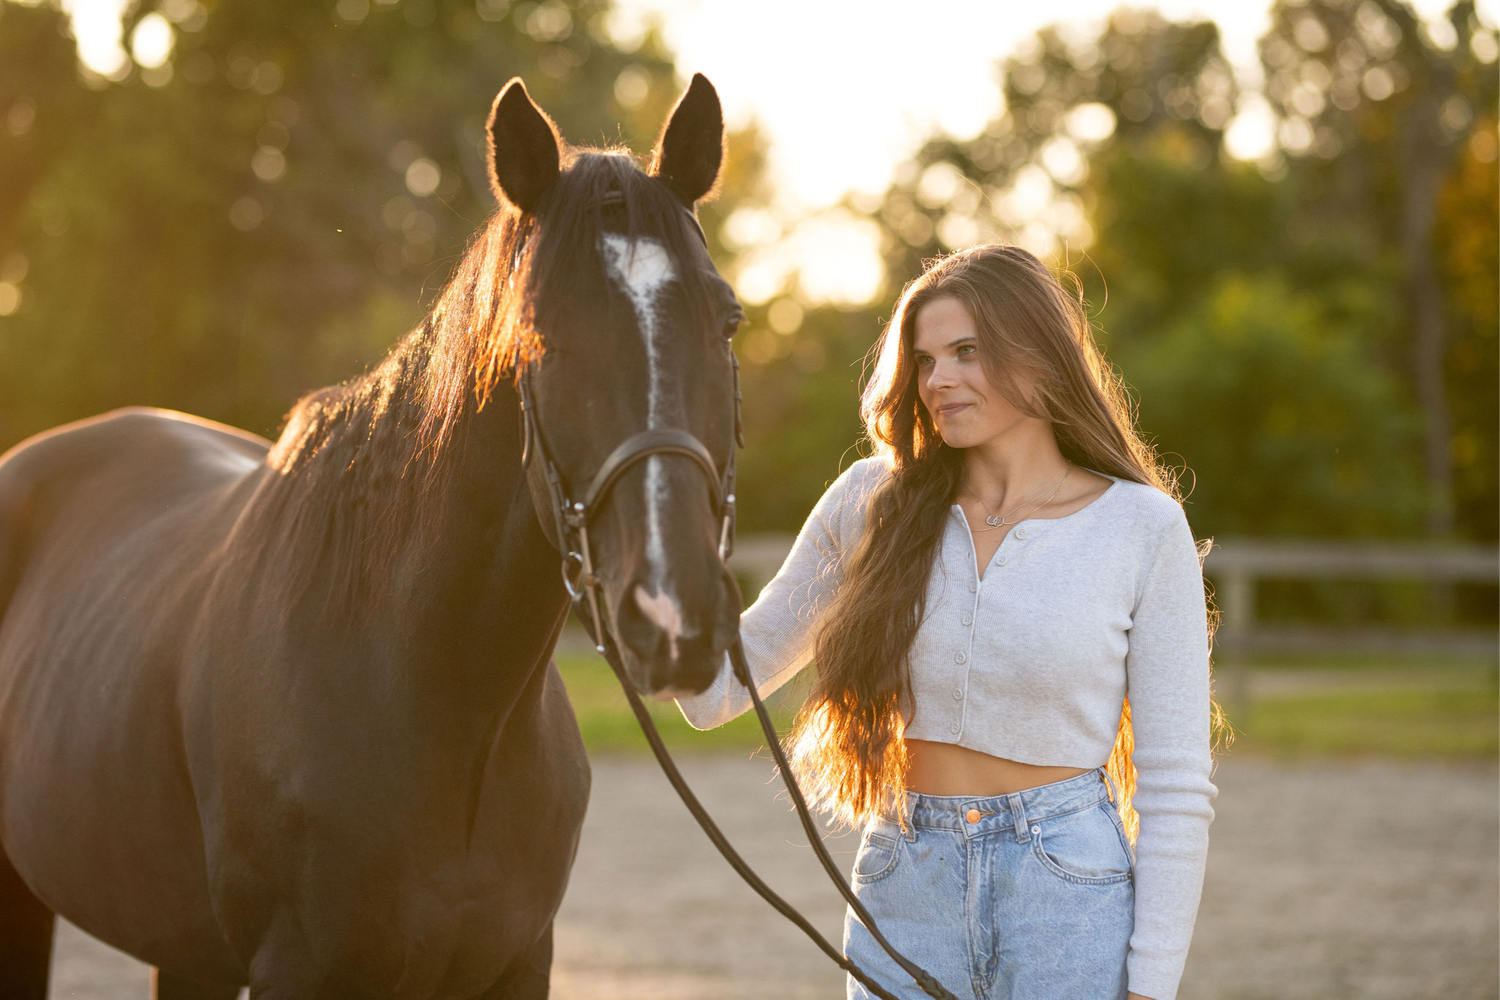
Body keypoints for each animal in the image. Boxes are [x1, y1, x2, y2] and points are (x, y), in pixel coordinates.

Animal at [0, 74, 743, 998]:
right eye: (537, 331)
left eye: (728, 320)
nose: (674, 616)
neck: (442, 700)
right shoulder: (299, 969)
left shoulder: (518, 965)